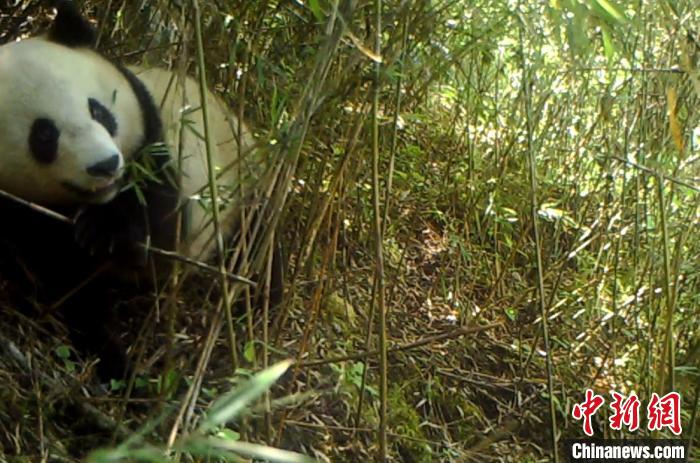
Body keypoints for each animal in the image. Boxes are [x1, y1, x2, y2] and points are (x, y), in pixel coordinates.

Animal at [0, 0, 278, 380]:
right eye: (44, 135)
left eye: (98, 110)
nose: (105, 165)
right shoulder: (18, 217)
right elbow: (68, 285)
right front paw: (110, 354)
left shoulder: (155, 140)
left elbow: (164, 234)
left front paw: (107, 232)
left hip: (240, 171)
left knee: (256, 235)